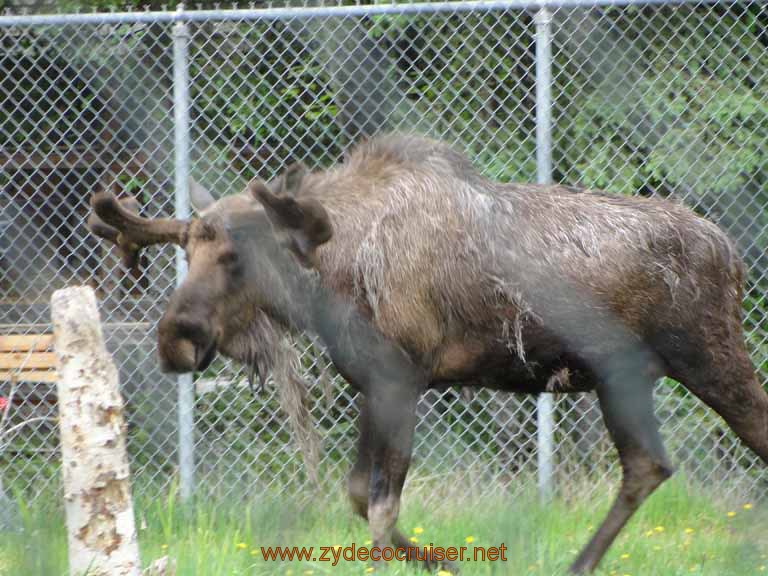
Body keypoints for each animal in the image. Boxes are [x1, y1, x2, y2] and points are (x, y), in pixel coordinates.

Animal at [87, 134, 764, 572]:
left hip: (708, 357)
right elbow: (360, 497)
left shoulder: (401, 379)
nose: (176, 337)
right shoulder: (373, 385)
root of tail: (731, 253)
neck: (331, 276)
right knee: (648, 465)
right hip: (624, 378)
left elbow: (381, 509)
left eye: (237, 256)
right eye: (187, 249)